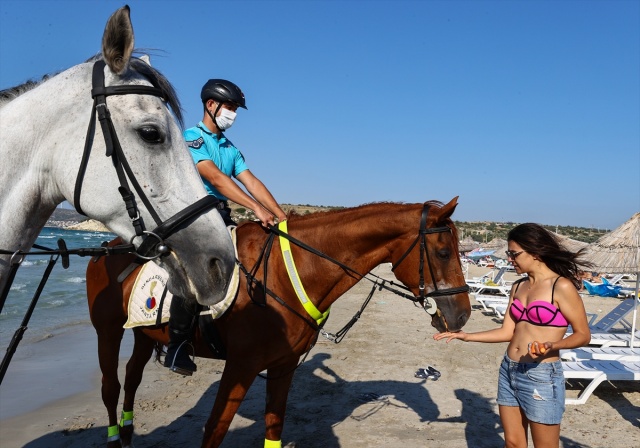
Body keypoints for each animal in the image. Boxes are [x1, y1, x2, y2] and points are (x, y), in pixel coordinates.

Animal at [87, 198, 470, 446]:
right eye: (443, 252)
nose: (463, 314)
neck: (286, 273)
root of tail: (106, 246)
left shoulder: (283, 365)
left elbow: (274, 425)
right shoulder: (240, 367)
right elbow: (214, 430)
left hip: (145, 333)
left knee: (132, 377)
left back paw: (128, 431)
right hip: (107, 332)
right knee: (110, 387)